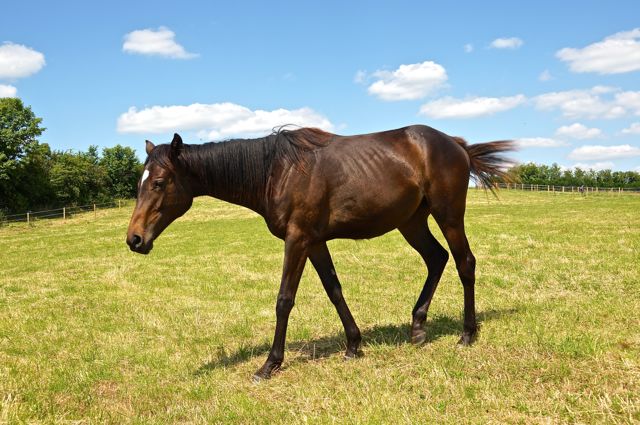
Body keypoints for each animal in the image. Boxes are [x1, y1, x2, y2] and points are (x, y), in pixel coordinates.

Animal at [126, 124, 516, 380]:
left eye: (159, 182)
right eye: (139, 183)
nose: (134, 239)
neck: (276, 171)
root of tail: (455, 144)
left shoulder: (297, 239)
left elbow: (284, 299)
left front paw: (270, 363)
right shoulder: (314, 242)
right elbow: (334, 289)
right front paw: (353, 345)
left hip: (447, 214)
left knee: (465, 263)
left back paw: (467, 334)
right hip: (412, 221)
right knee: (437, 259)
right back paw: (418, 327)